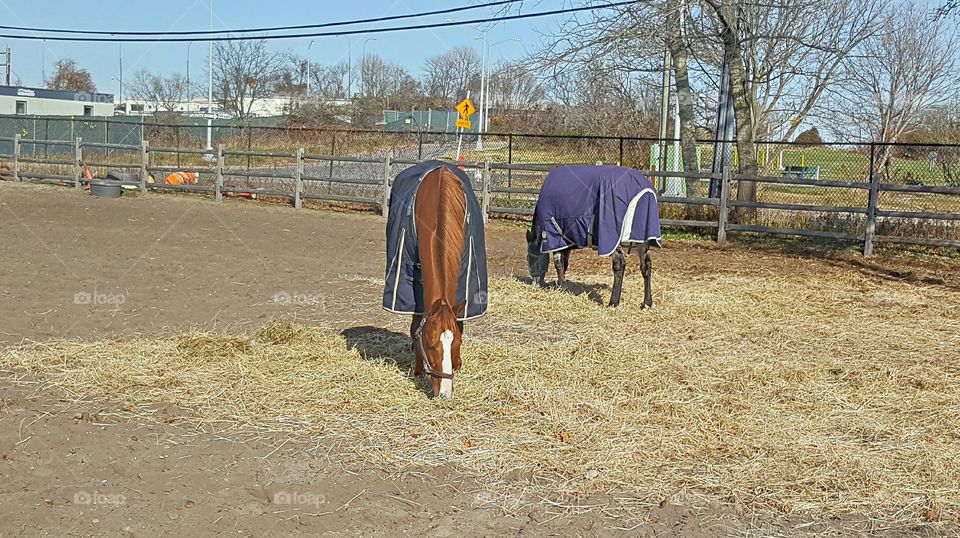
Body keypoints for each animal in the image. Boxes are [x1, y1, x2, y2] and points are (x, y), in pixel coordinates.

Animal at [382, 161, 488, 398]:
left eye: (457, 342)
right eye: (430, 344)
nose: (445, 392)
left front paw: (457, 363)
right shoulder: (412, 279)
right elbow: (415, 325)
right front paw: (419, 370)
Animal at [526, 165, 662, 308]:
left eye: (528, 257)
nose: (535, 282)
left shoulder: (555, 237)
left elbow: (558, 263)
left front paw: (562, 287)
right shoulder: (567, 240)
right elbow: (565, 263)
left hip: (612, 238)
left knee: (619, 265)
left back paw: (613, 303)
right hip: (643, 239)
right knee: (646, 266)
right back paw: (646, 303)